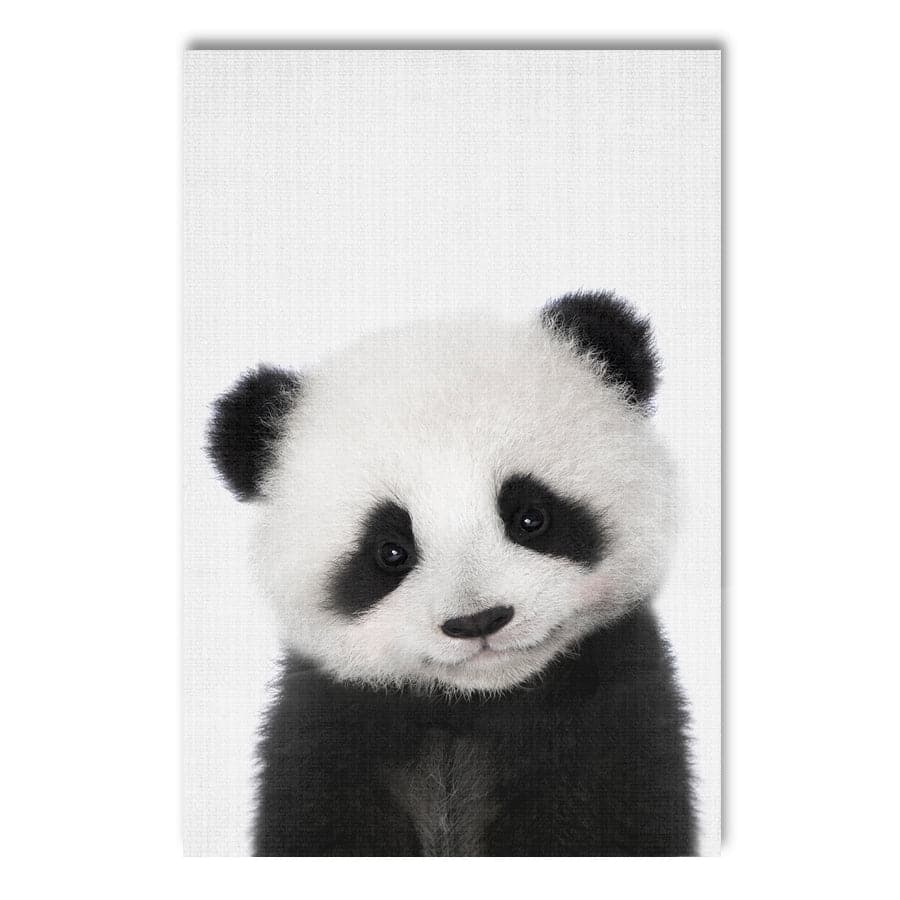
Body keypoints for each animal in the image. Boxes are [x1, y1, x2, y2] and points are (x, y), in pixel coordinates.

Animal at [207, 290, 696, 856]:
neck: (472, 705)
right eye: (390, 551)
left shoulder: (613, 713)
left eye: (531, 517)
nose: (478, 621)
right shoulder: (329, 729)